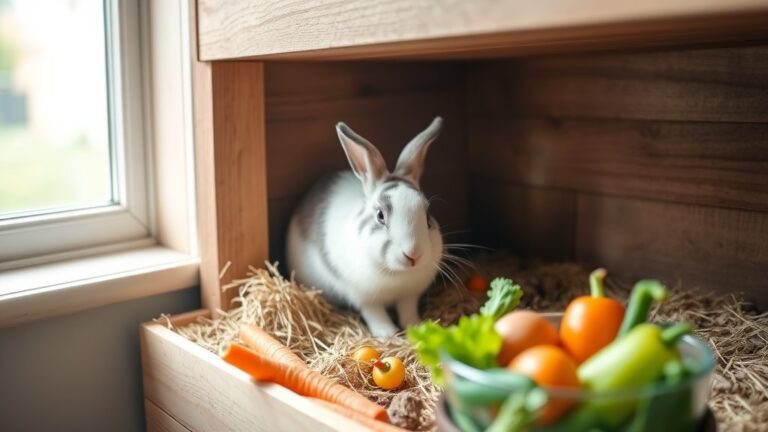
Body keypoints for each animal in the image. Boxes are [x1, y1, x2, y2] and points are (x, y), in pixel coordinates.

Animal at [286, 115, 444, 338]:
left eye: (428, 215)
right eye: (380, 216)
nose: (413, 255)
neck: (397, 274)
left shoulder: (409, 295)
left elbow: (407, 309)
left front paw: (416, 326)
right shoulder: (364, 297)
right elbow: (374, 312)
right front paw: (387, 333)